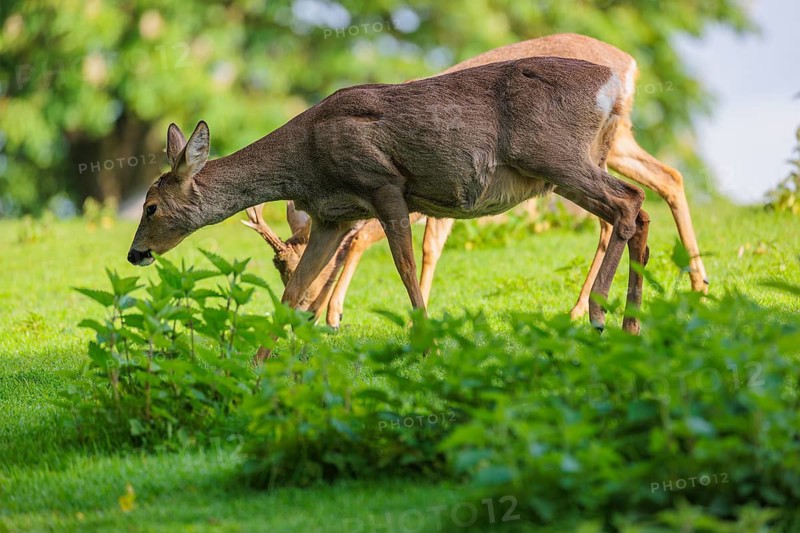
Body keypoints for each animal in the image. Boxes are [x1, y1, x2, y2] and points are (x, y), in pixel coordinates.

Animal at [127, 55, 650, 346]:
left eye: (151, 207)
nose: (135, 253)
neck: (308, 160)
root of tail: (612, 87)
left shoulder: (384, 184)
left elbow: (404, 268)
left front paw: (426, 343)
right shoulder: (332, 217)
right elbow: (293, 293)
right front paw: (258, 367)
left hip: (552, 155)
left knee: (628, 202)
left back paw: (599, 316)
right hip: (563, 167)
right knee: (638, 210)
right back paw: (631, 326)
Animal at [242, 34, 707, 330]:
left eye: (285, 265)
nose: (300, 311)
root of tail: (630, 66)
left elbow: (369, 239)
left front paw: (336, 315)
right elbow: (429, 246)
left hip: (578, 154)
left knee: (624, 206)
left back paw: (593, 309)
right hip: (613, 145)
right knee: (665, 179)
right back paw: (693, 287)